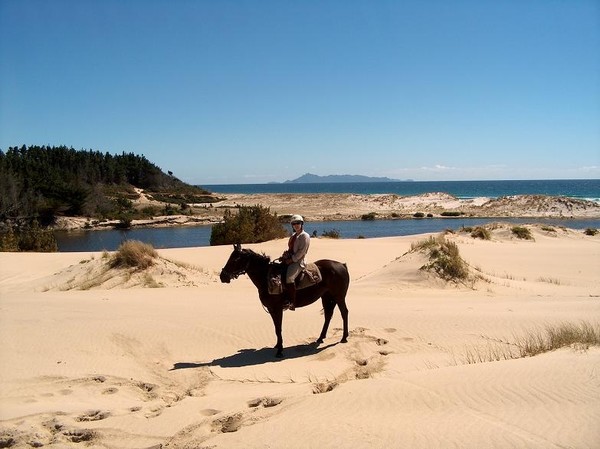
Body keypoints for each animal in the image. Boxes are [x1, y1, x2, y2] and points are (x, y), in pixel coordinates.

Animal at [220, 243, 352, 356]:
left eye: (234, 260)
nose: (222, 276)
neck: (266, 278)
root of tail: (342, 265)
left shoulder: (277, 308)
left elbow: (279, 328)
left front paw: (280, 351)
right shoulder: (272, 309)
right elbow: (276, 328)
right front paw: (278, 345)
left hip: (339, 296)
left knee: (344, 312)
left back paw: (344, 338)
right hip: (326, 296)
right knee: (328, 315)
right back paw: (320, 338)